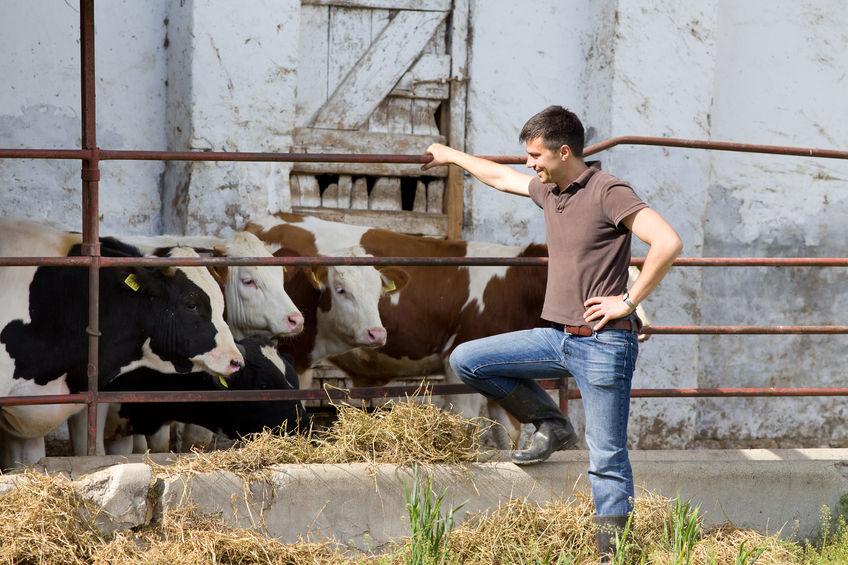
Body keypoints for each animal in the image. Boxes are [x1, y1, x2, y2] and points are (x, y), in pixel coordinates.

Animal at [245, 212, 648, 446]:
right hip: (297, 351)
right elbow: (469, 421)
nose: (643, 327)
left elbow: (507, 428)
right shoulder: (458, 360)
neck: (515, 284)